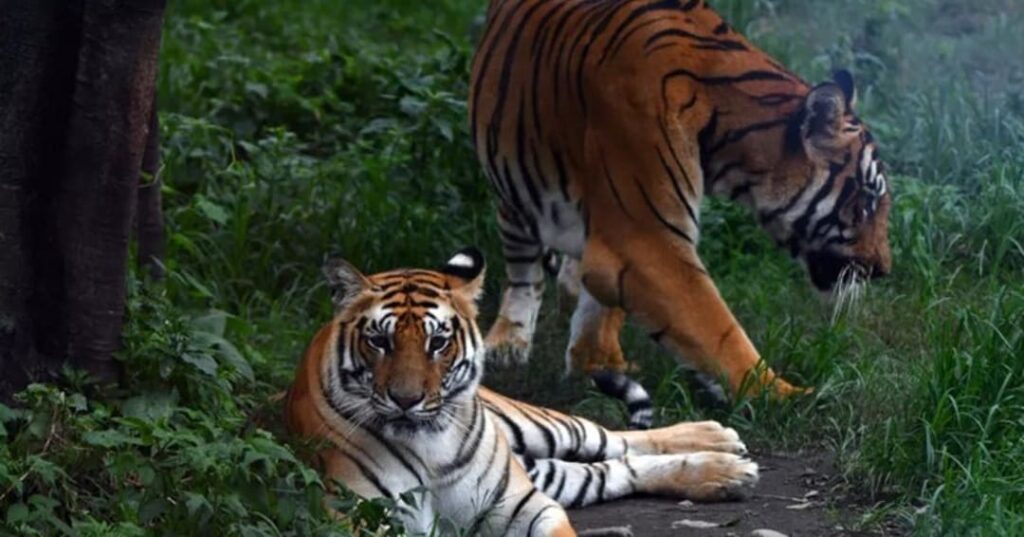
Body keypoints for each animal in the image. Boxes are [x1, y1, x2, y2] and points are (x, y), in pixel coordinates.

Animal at [284, 248, 758, 536]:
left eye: (438, 342)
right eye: (379, 341)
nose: (406, 400)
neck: (430, 446)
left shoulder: (525, 506)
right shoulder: (358, 516)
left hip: (539, 429)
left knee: (614, 439)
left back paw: (719, 443)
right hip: (542, 469)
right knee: (614, 469)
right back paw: (724, 472)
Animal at [469, 0, 892, 400]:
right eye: (867, 199)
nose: (883, 270)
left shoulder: (618, 230)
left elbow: (604, 305)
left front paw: (599, 362)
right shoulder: (646, 242)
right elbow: (718, 329)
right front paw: (790, 396)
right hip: (512, 183)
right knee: (523, 271)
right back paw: (509, 341)